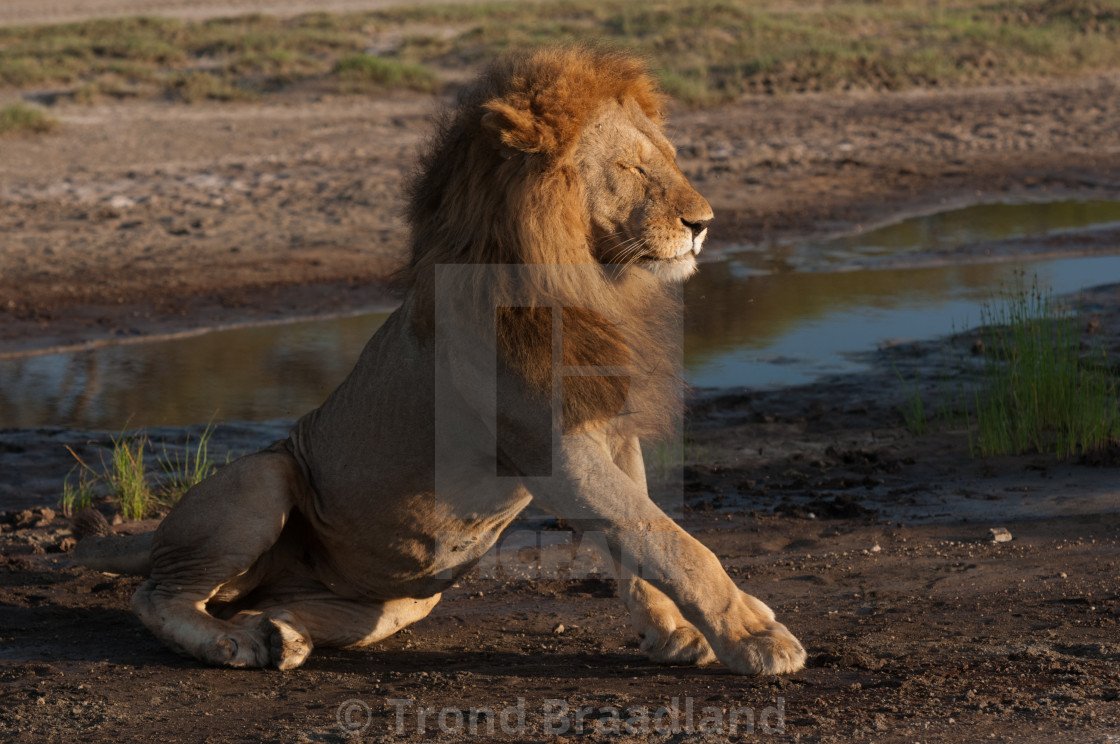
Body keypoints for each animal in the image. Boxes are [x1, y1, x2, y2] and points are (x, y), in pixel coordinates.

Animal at [76, 46, 806, 672]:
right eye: (630, 168)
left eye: (669, 159)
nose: (704, 224)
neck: (586, 278)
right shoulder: (555, 445)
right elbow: (667, 539)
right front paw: (756, 637)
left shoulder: (608, 428)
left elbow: (637, 542)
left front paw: (674, 634)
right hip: (263, 478)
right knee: (158, 595)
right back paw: (234, 644)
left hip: (402, 601)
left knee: (280, 607)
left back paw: (281, 634)